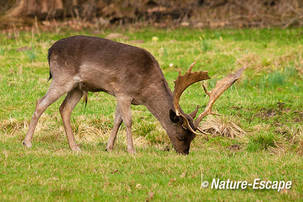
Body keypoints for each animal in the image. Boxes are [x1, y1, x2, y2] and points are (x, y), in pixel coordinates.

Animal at [23, 35, 247, 155]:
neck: (145, 88)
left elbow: (117, 119)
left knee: (64, 109)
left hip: (78, 87)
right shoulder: (123, 91)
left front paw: (109, 147)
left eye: (193, 136)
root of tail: (50, 51)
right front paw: (131, 150)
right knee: (40, 103)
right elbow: (128, 121)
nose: (184, 152)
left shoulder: (121, 95)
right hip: (62, 77)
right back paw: (27, 142)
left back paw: (75, 147)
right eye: (182, 135)